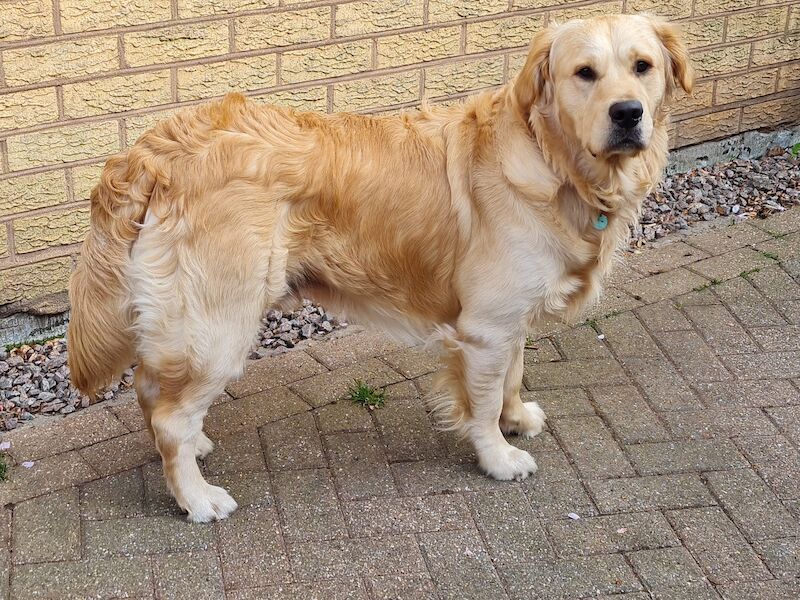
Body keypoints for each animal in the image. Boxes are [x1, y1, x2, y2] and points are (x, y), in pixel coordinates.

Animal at [69, 12, 692, 520]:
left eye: (642, 67)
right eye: (584, 73)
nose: (628, 113)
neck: (554, 160)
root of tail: (152, 149)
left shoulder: (509, 319)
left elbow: (513, 376)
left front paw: (517, 418)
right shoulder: (486, 327)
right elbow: (484, 402)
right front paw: (499, 455)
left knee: (153, 387)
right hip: (220, 324)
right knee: (169, 415)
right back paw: (197, 498)